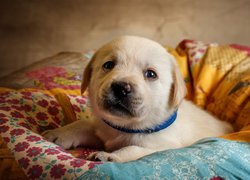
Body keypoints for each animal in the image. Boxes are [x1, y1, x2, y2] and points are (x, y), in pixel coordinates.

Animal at [42, 35, 232, 162]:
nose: (121, 88)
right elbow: (83, 124)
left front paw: (109, 156)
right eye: (108, 65)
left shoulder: (163, 146)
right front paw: (58, 133)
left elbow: (134, 149)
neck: (125, 127)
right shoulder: (102, 130)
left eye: (151, 74)